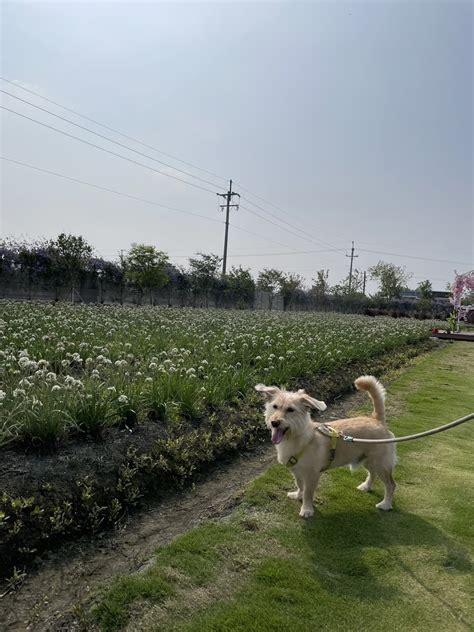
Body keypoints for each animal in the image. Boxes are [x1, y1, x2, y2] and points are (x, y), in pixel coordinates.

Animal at [256, 376, 396, 520]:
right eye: (275, 407)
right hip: (368, 460)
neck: (299, 438)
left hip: (380, 464)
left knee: (391, 484)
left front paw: (306, 509)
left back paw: (385, 504)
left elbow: (308, 493)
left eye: (290, 410)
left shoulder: (312, 475)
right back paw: (366, 486)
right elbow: (299, 485)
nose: (274, 422)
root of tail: (377, 420)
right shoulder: (296, 471)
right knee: (373, 474)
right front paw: (298, 495)